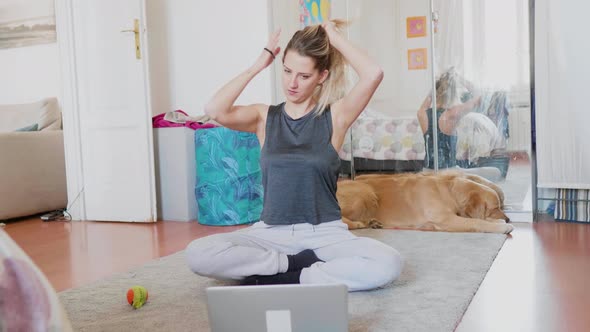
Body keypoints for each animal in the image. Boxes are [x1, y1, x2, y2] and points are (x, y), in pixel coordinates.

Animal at [340, 171, 516, 233]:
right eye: (495, 208)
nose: (508, 218)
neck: (449, 191)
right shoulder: (445, 219)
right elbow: (477, 222)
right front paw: (502, 226)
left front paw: (499, 222)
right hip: (365, 192)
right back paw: (359, 224)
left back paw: (372, 222)